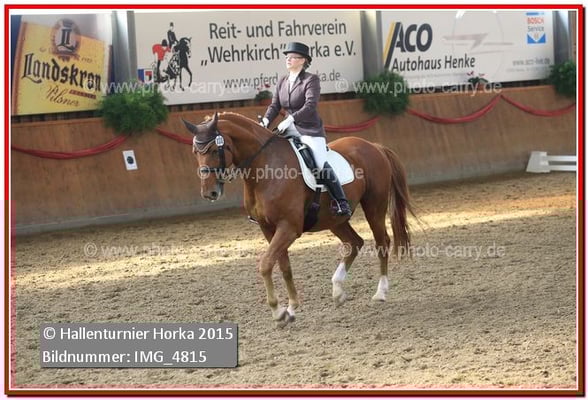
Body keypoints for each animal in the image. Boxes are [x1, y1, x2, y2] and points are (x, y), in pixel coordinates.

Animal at [182, 112, 415, 328]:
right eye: (195, 152)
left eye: (214, 150)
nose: (209, 192)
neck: (265, 168)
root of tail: (373, 146)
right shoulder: (268, 229)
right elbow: (284, 266)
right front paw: (291, 309)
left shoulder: (288, 228)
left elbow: (266, 264)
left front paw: (278, 312)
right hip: (334, 219)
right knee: (354, 242)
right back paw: (338, 290)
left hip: (374, 206)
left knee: (382, 242)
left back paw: (380, 292)